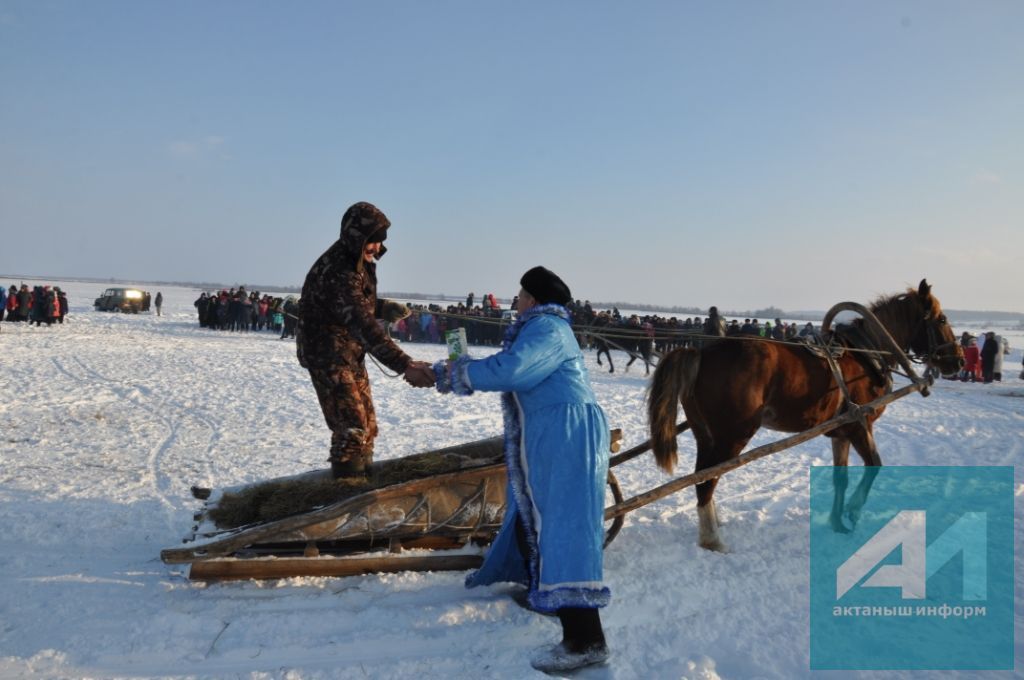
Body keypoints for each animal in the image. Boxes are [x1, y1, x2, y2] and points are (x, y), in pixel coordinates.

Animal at [651, 280, 962, 553]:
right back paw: (712, 540)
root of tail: (702, 352)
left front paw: (837, 521)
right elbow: (874, 465)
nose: (958, 360)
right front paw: (853, 510)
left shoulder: (841, 433)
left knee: (703, 476)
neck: (867, 352)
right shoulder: (860, 424)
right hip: (732, 436)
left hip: (705, 434)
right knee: (707, 481)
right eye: (942, 319)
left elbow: (841, 478)